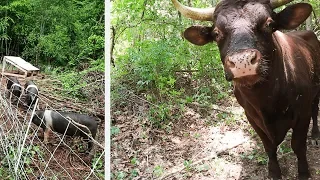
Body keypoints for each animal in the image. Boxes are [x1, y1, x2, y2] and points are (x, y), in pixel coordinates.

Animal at [172, 0, 320, 179]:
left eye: (269, 24)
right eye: (216, 33)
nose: (242, 61)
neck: (268, 100)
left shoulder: (302, 113)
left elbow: (298, 146)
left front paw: (304, 172)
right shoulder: (251, 116)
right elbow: (269, 147)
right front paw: (274, 172)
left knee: (315, 110)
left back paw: (315, 135)